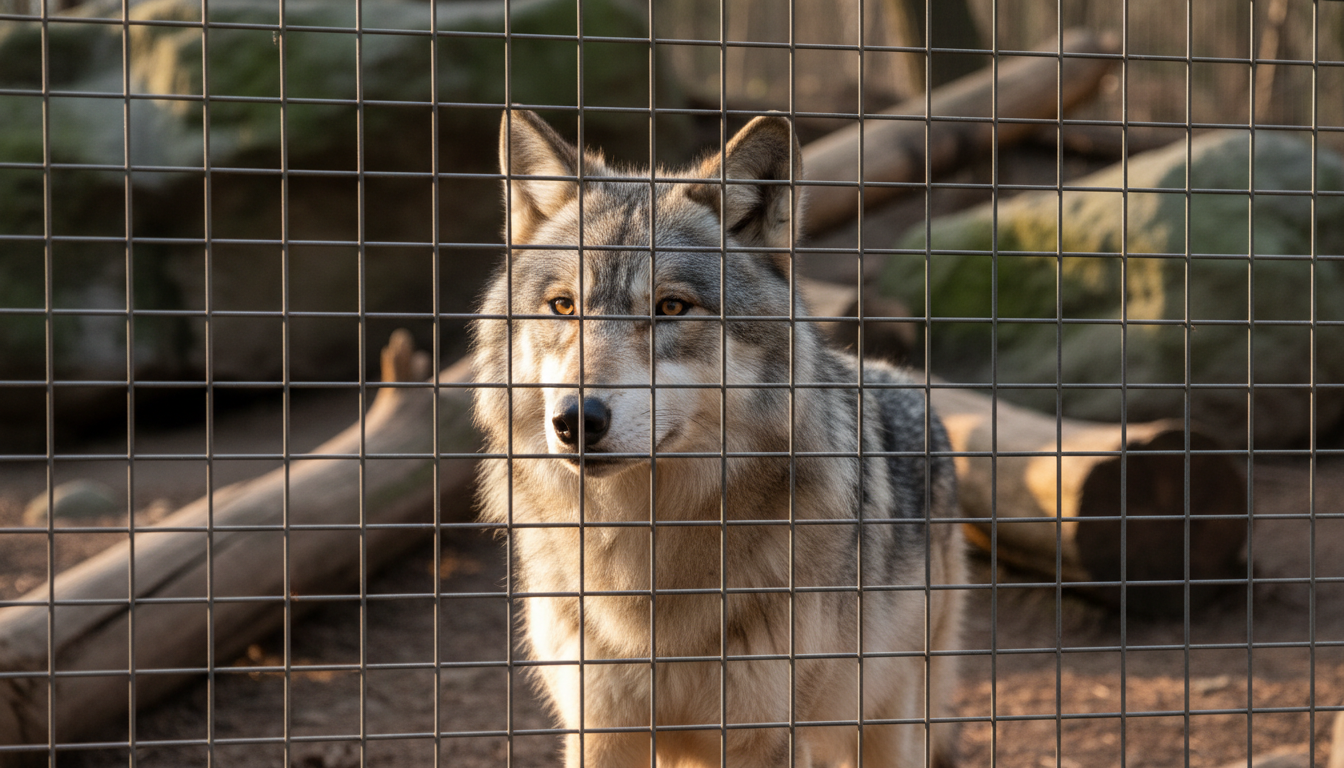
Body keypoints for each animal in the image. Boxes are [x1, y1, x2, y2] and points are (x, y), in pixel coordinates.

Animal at [471, 109, 965, 768]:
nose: (577, 419)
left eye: (671, 307)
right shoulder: (600, 732)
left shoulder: (765, 738)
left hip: (888, 721)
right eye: (563, 307)